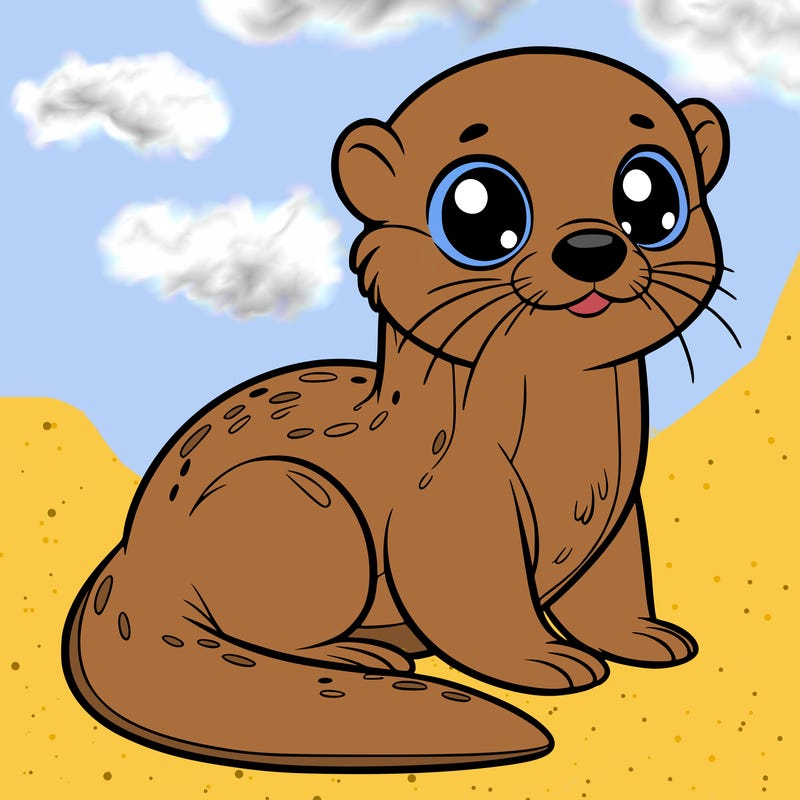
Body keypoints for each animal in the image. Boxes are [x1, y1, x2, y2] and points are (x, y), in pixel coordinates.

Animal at [62, 48, 729, 772]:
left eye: (650, 195)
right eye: (477, 208)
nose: (591, 249)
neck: (574, 461)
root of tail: (133, 556)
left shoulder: (618, 511)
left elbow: (612, 587)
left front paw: (643, 636)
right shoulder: (452, 507)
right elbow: (478, 606)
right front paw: (544, 660)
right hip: (293, 501)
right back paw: (361, 653)